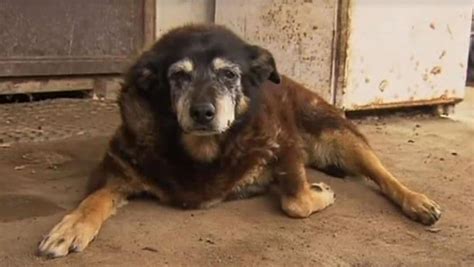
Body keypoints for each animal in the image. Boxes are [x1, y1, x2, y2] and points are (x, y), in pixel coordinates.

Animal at [37, 24, 440, 258]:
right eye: (178, 77)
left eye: (229, 75)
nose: (202, 112)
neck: (204, 153)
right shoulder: (117, 170)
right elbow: (93, 200)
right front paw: (69, 227)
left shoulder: (284, 144)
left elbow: (296, 201)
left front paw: (318, 192)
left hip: (339, 134)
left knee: (384, 175)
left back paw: (418, 202)